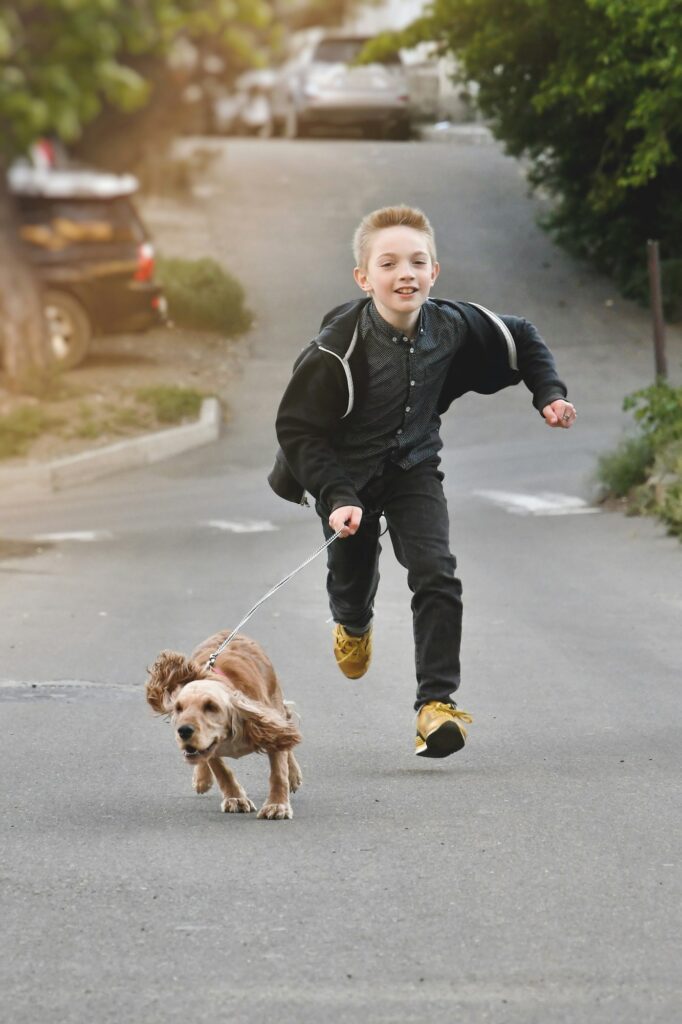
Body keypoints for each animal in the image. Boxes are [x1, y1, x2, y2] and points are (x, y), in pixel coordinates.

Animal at [144, 626, 301, 819]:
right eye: (179, 708)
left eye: (211, 706)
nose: (184, 731)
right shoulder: (210, 745)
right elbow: (220, 769)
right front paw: (236, 799)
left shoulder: (266, 720)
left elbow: (279, 770)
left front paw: (277, 805)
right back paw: (201, 779)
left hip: (275, 700)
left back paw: (293, 775)